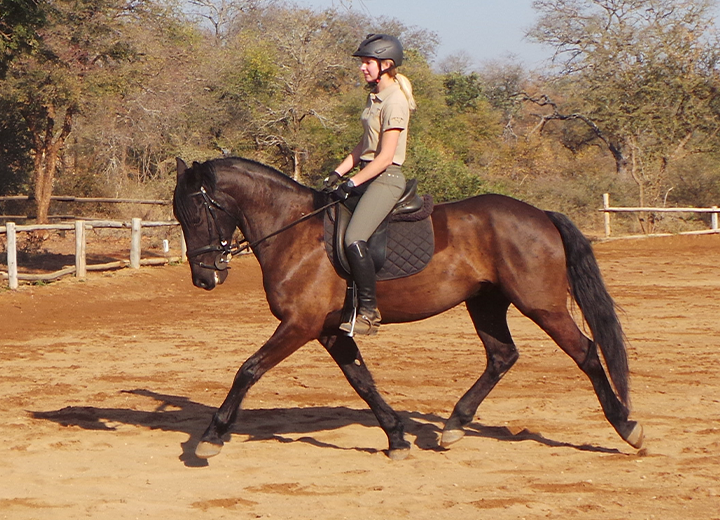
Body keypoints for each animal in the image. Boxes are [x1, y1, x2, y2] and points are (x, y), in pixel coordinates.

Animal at [173, 156, 644, 461]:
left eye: (195, 214)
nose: (204, 278)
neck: (294, 231)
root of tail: (541, 215)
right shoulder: (328, 330)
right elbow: (361, 380)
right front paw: (397, 437)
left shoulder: (300, 324)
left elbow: (248, 369)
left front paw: (211, 436)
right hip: (485, 302)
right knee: (502, 355)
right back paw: (454, 426)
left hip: (541, 305)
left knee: (586, 352)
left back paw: (627, 427)